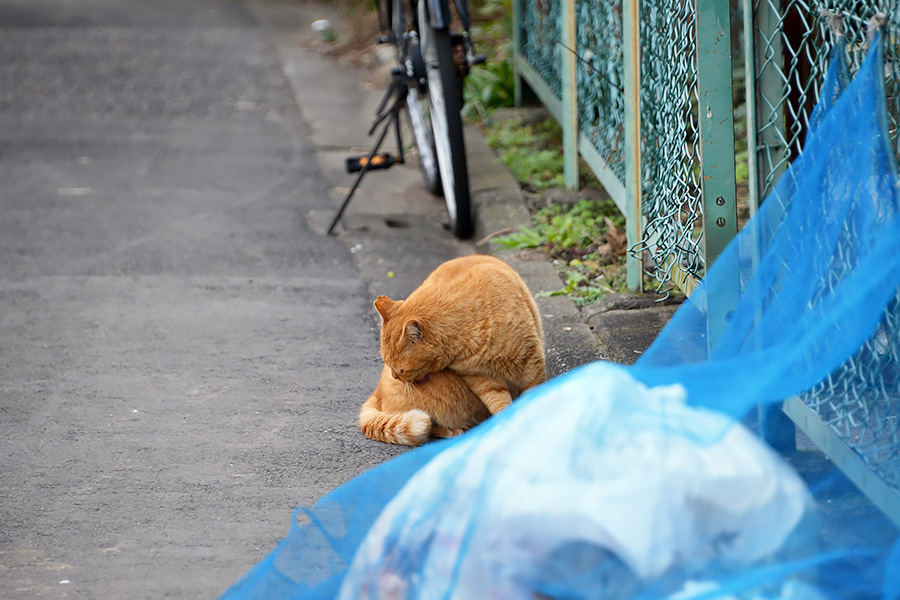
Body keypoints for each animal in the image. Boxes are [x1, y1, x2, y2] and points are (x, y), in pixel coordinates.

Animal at [370, 255, 544, 420]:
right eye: (389, 365)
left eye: (401, 370)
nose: (395, 377)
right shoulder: (480, 377)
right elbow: (498, 402)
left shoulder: (531, 360)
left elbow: (533, 390)